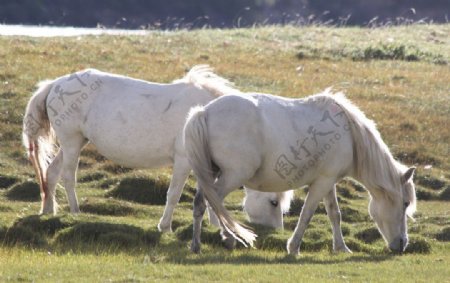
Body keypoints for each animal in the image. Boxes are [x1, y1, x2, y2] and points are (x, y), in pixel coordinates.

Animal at [22, 66, 290, 233]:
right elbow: (174, 194)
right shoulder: (184, 161)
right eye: (273, 202)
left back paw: (48, 211)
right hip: (71, 142)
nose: (276, 231)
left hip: (76, 142)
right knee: (68, 176)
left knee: (51, 173)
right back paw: (76, 212)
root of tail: (54, 84)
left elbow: (212, 194)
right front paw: (165, 227)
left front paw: (216, 226)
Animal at [185, 87, 416, 255]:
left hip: (211, 174)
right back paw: (229, 238)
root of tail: (204, 112)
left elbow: (335, 214)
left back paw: (197, 245)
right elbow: (307, 214)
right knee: (213, 201)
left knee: (201, 203)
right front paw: (294, 248)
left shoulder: (328, 181)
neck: (349, 135)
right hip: (232, 176)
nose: (402, 244)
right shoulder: (321, 183)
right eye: (405, 203)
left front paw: (341, 247)